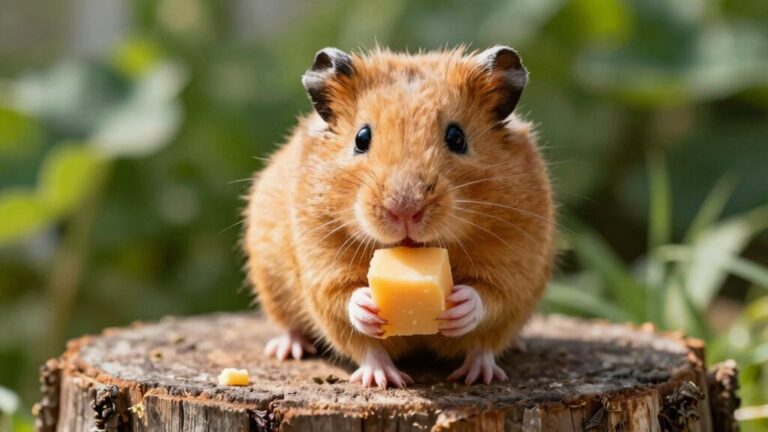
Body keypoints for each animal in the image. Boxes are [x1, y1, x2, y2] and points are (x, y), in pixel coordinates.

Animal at [244, 46, 554, 388]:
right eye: (361, 138)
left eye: (456, 138)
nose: (405, 210)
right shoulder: (322, 264)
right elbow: (347, 305)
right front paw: (376, 353)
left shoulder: (515, 265)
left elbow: (490, 299)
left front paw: (460, 307)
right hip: (271, 281)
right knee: (293, 326)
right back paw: (298, 352)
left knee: (485, 347)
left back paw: (480, 375)